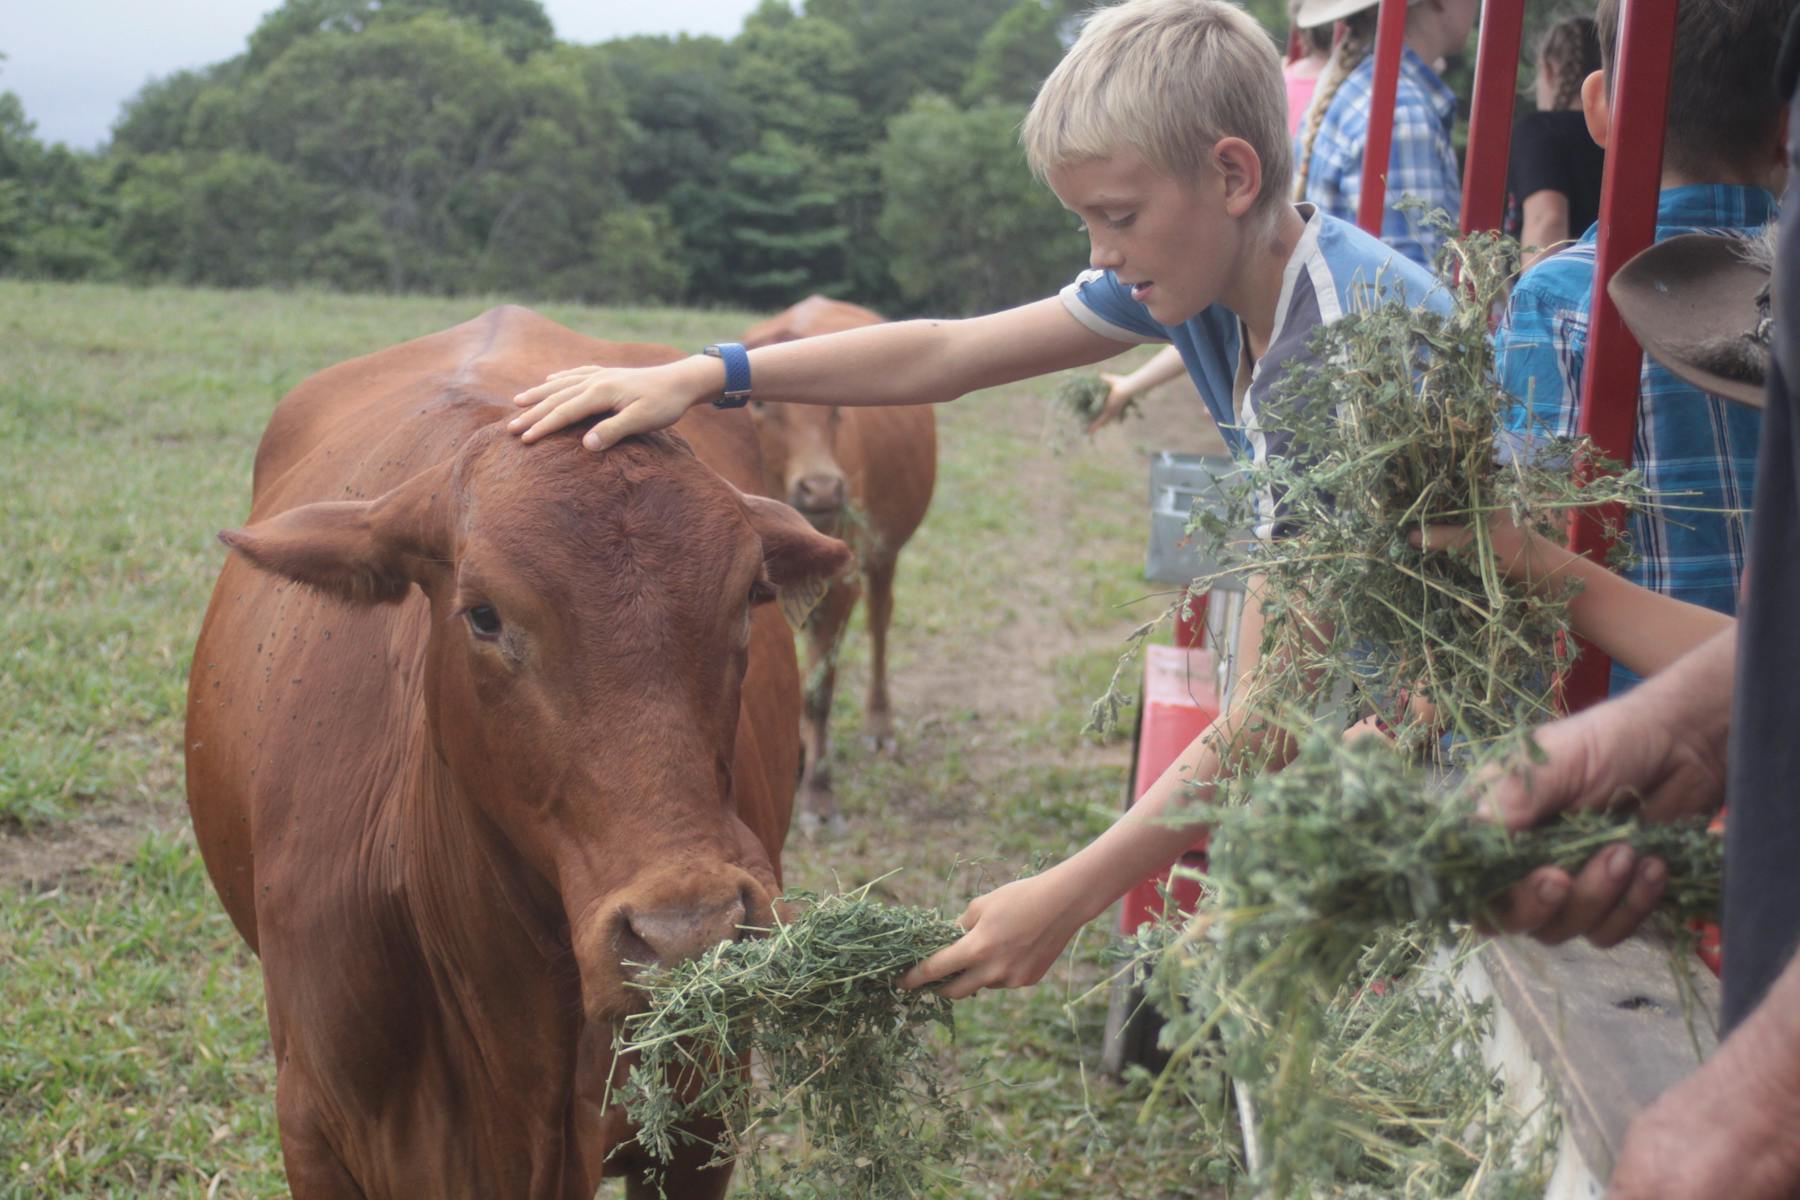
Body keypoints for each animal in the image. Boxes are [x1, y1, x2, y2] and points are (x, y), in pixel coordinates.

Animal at [741, 295, 943, 831]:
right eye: (760, 403)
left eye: (835, 408)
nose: (823, 488)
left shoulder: (843, 580)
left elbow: (819, 692)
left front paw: (818, 792)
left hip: (885, 552)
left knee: (879, 623)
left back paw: (879, 724)